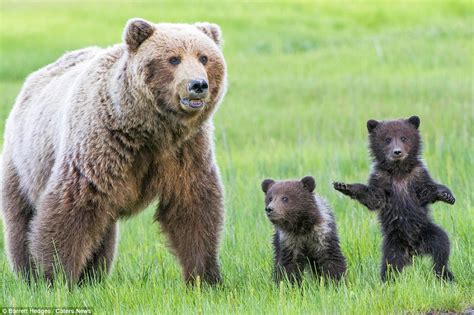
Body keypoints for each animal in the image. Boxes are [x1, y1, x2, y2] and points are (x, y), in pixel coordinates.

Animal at [1, 18, 228, 288]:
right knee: (22, 218)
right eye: (173, 58)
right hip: (23, 162)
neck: (149, 129)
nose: (198, 85)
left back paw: (93, 275)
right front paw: (57, 276)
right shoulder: (102, 146)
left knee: (102, 231)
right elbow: (70, 208)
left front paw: (206, 277)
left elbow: (193, 207)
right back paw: (28, 274)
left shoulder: (184, 150)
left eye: (204, 57)